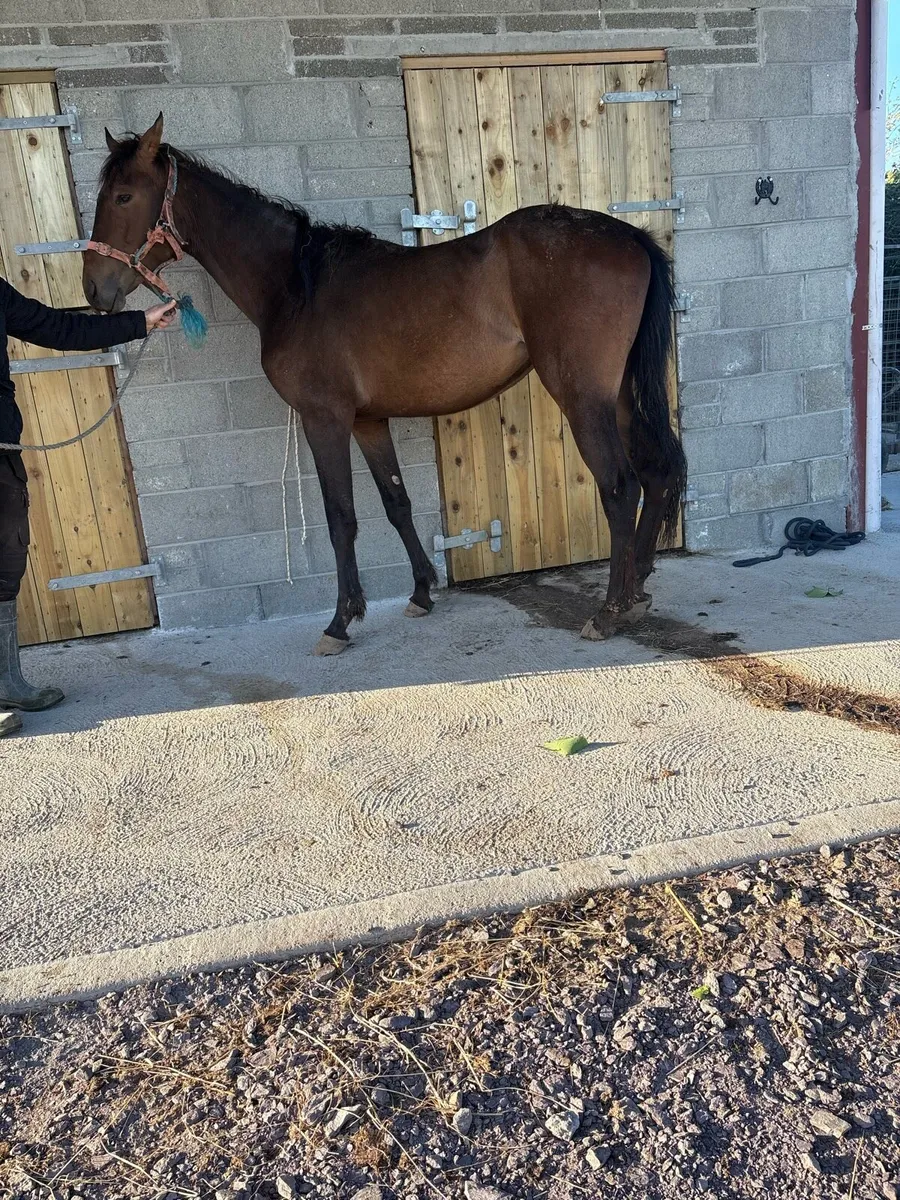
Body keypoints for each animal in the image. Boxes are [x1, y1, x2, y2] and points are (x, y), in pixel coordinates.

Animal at [83, 115, 686, 656]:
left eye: (123, 197)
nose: (95, 290)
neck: (296, 286)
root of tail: (630, 236)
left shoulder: (324, 419)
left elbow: (340, 516)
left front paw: (340, 621)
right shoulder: (369, 420)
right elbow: (395, 501)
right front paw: (421, 592)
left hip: (583, 398)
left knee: (619, 487)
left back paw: (608, 611)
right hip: (619, 397)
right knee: (656, 472)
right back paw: (636, 590)